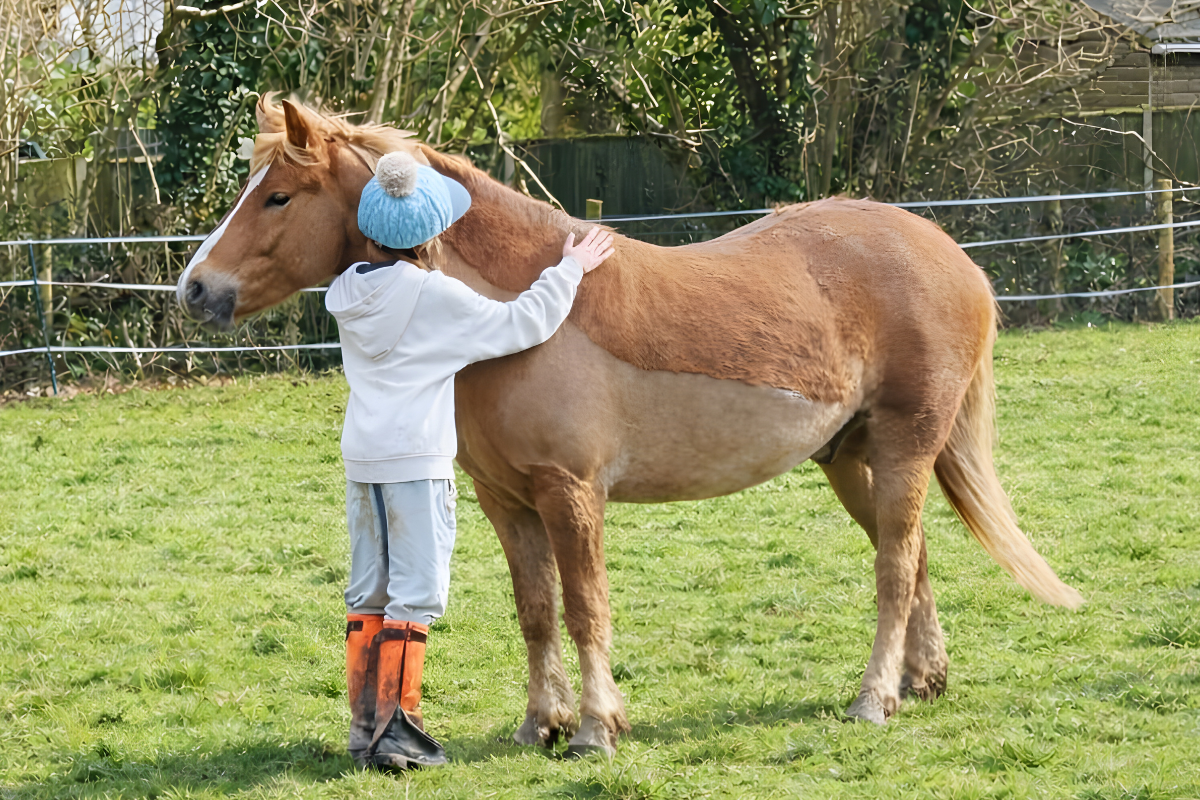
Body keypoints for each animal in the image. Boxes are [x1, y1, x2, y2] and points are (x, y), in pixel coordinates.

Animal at [176, 96, 1082, 755]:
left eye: (278, 196)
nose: (195, 288)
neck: (514, 318)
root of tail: (948, 253)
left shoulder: (572, 495)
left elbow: (585, 608)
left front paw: (594, 730)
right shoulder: (506, 502)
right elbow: (536, 612)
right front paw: (538, 725)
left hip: (902, 447)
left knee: (894, 569)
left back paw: (872, 698)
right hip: (849, 458)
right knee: (914, 556)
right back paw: (920, 683)